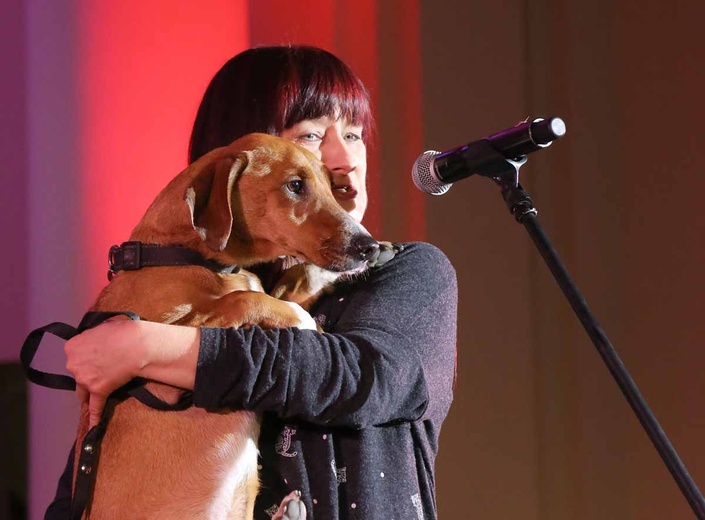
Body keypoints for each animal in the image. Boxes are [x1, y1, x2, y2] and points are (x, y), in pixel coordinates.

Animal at [74, 132, 376, 516]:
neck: (184, 252)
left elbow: (285, 284)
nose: (367, 246)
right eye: (295, 185)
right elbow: (247, 299)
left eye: (333, 186)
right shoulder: (160, 351)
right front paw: (304, 320)